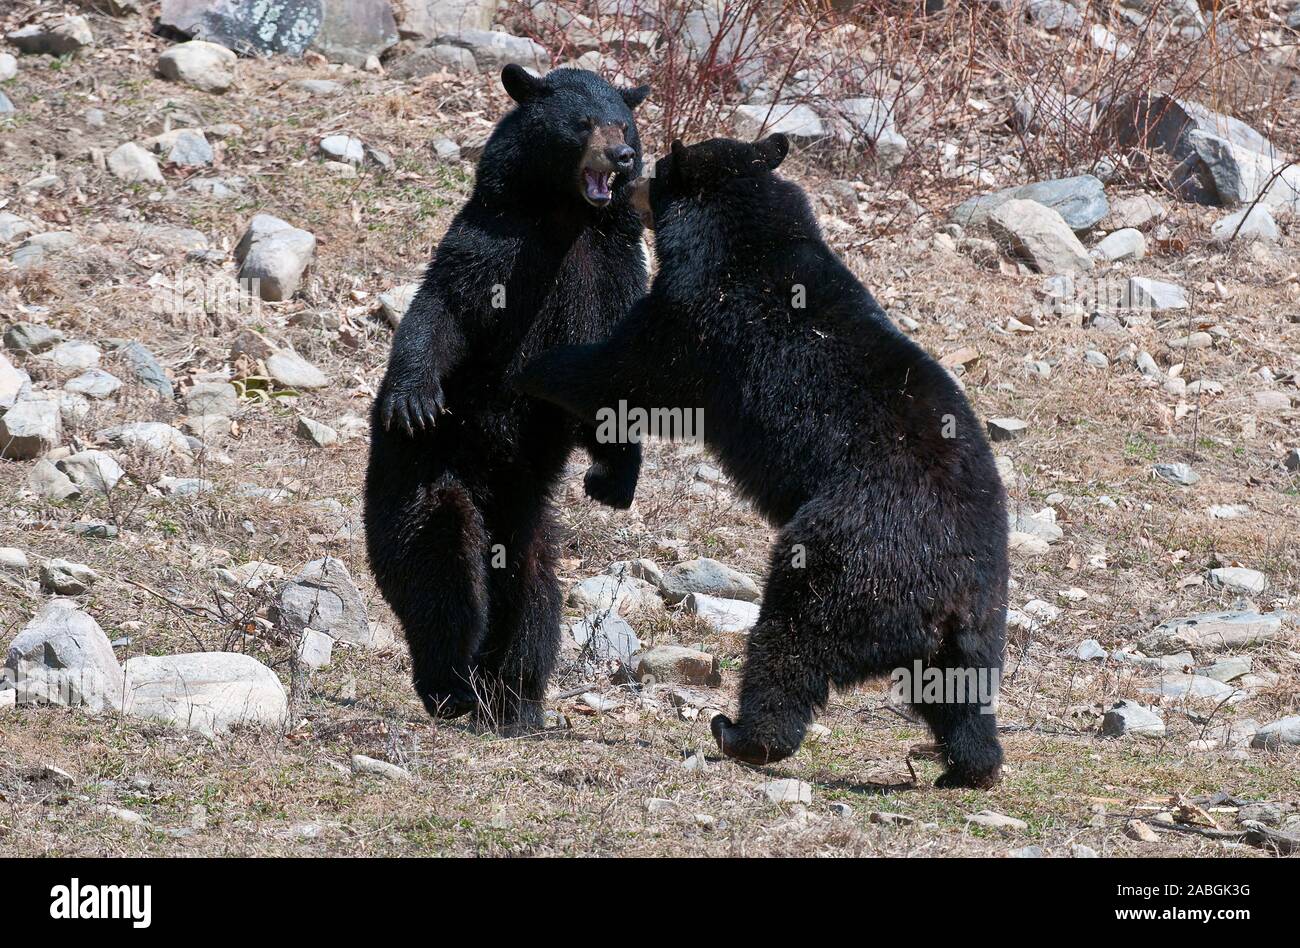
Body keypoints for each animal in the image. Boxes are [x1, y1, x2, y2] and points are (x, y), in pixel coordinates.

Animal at [365, 65, 651, 731]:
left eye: (623, 123)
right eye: (582, 122)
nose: (622, 157)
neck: (566, 218)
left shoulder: (613, 270)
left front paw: (615, 475)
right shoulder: (496, 245)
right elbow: (445, 308)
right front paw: (413, 398)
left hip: (528, 519)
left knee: (535, 595)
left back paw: (516, 700)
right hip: (423, 475)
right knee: (440, 565)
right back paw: (451, 684)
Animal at [515, 135, 1009, 788]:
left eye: (659, 171)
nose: (630, 185)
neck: (743, 235)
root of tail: (948, 590)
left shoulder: (702, 318)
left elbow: (626, 372)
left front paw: (535, 369)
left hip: (845, 557)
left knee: (793, 639)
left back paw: (742, 733)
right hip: (978, 622)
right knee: (962, 693)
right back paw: (969, 768)